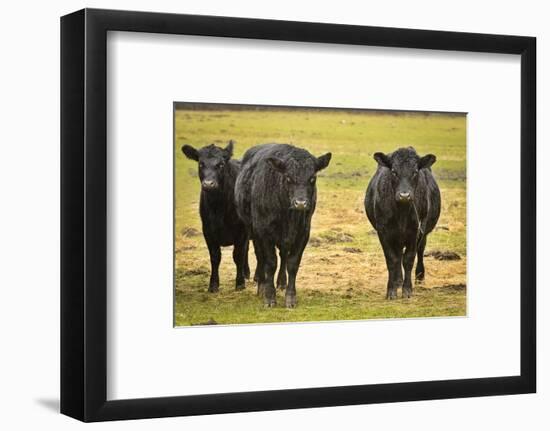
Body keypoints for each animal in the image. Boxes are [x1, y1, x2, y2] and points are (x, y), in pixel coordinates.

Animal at [182, 142, 251, 294]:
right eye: (201, 164)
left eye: (220, 164)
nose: (209, 184)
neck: (219, 207)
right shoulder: (208, 230)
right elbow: (215, 257)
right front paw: (213, 285)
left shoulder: (242, 231)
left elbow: (238, 255)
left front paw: (240, 283)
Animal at [234, 144, 330, 308]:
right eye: (288, 178)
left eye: (312, 178)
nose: (300, 203)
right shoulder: (264, 233)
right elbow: (270, 262)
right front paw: (269, 296)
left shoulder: (303, 233)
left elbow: (292, 263)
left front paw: (290, 298)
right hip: (253, 230)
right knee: (261, 257)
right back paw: (261, 284)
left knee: (283, 255)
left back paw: (281, 282)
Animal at [366, 147, 444, 298]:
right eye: (393, 171)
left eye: (415, 171)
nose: (404, 195)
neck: (401, 213)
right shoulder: (383, 232)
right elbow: (392, 259)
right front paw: (391, 290)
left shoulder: (415, 231)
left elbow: (408, 259)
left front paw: (407, 290)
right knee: (398, 256)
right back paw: (398, 280)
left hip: (423, 233)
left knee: (420, 251)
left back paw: (419, 277)